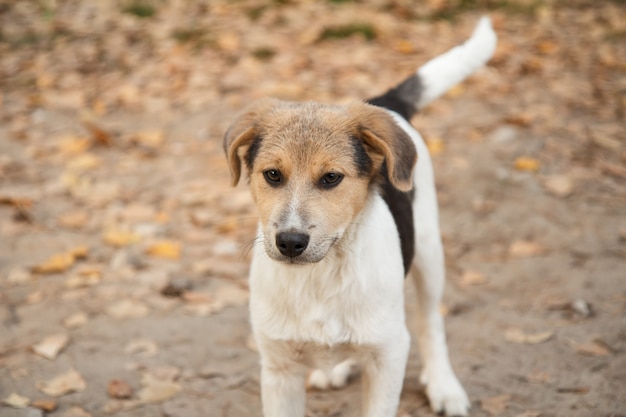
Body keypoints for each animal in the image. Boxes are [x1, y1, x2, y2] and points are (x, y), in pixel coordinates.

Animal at [222, 17, 494, 416]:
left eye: (331, 178)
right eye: (272, 174)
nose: (290, 242)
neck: (319, 277)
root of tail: (382, 104)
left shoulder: (389, 356)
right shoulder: (278, 368)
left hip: (429, 252)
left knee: (431, 322)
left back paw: (444, 385)